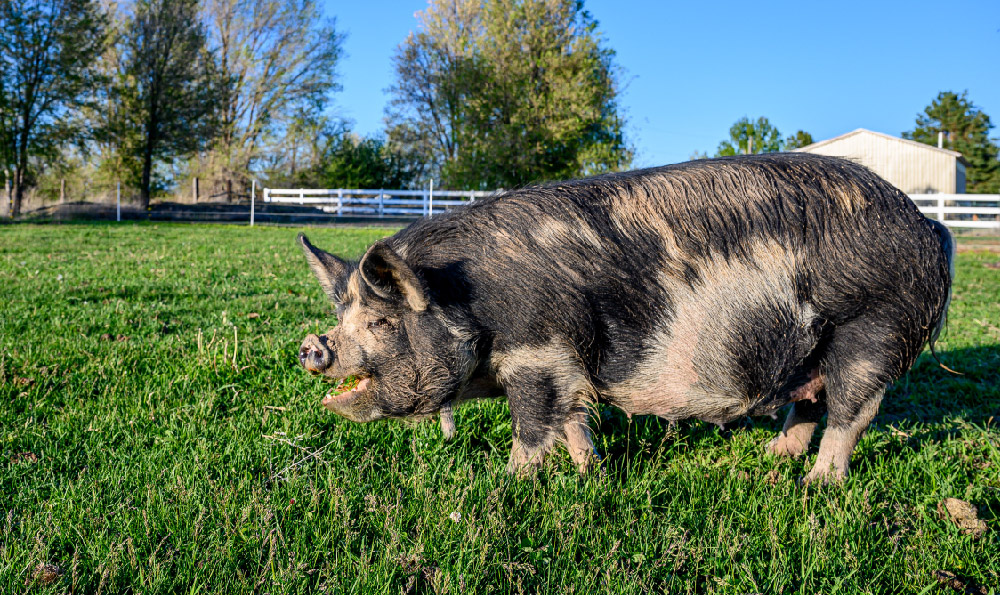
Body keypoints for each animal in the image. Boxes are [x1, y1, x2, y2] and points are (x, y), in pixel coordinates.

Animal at [296, 152, 952, 484]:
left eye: (382, 325)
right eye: (342, 314)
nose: (312, 347)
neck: (470, 305)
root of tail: (927, 226)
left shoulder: (539, 352)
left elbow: (532, 426)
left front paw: (509, 484)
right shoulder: (566, 364)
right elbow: (572, 420)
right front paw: (590, 471)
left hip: (874, 329)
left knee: (851, 412)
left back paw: (815, 486)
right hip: (812, 348)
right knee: (809, 403)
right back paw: (772, 460)